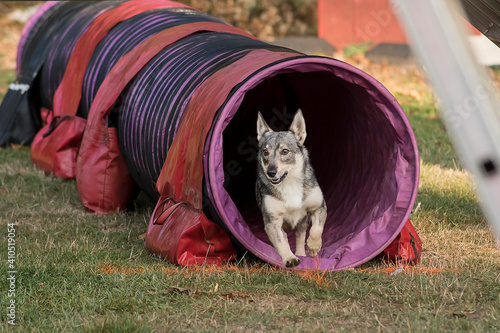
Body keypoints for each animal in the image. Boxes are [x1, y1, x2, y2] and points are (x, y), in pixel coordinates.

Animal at [256, 109, 326, 268]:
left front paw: (313, 247)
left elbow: (316, 229)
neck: (289, 183)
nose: (271, 172)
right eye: (265, 152)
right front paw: (289, 258)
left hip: (303, 222)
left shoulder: (319, 207)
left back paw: (302, 252)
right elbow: (282, 242)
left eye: (285, 151)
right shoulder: (272, 222)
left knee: (300, 236)